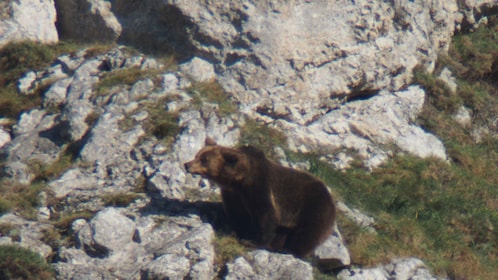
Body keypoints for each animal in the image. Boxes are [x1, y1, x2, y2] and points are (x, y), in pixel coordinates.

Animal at [183, 138, 334, 258]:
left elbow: (265, 216)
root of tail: (331, 200)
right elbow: (238, 214)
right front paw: (238, 232)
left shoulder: (260, 187)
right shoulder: (234, 195)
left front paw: (254, 241)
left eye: (204, 159)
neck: (239, 180)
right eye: (197, 155)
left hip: (312, 208)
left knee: (307, 234)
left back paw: (289, 250)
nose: (186, 164)